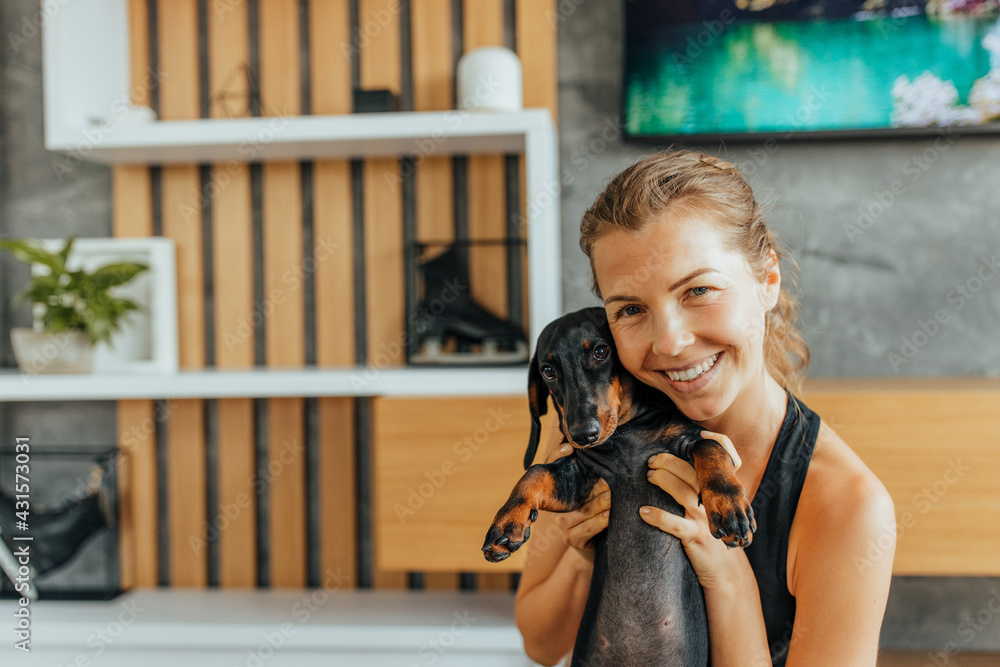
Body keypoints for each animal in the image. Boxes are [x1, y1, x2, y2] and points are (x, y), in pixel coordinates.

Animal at [480, 308, 752, 667]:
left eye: (601, 351)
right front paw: (507, 524)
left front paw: (728, 506)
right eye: (548, 371)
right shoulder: (579, 477)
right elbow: (535, 472)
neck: (625, 433)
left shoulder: (685, 441)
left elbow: (711, 447)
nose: (583, 434)